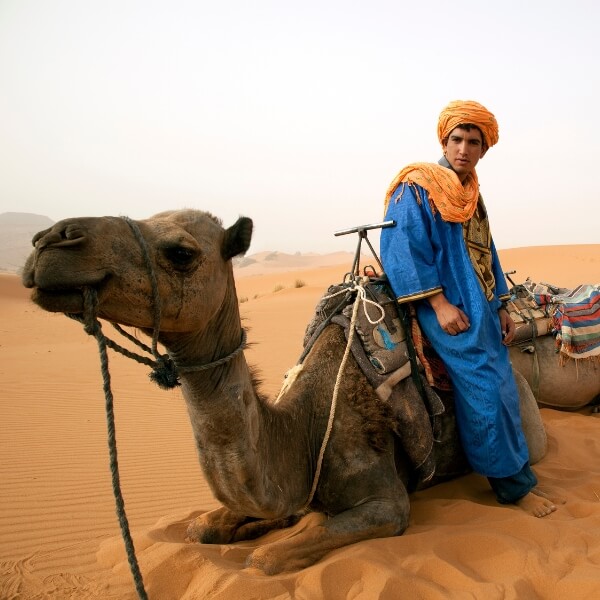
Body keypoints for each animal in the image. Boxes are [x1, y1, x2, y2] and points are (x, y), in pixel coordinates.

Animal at [22, 209, 548, 576]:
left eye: (181, 253)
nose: (50, 241)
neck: (304, 429)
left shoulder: (388, 503)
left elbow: (266, 560)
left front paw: (265, 538)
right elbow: (203, 525)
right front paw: (248, 524)